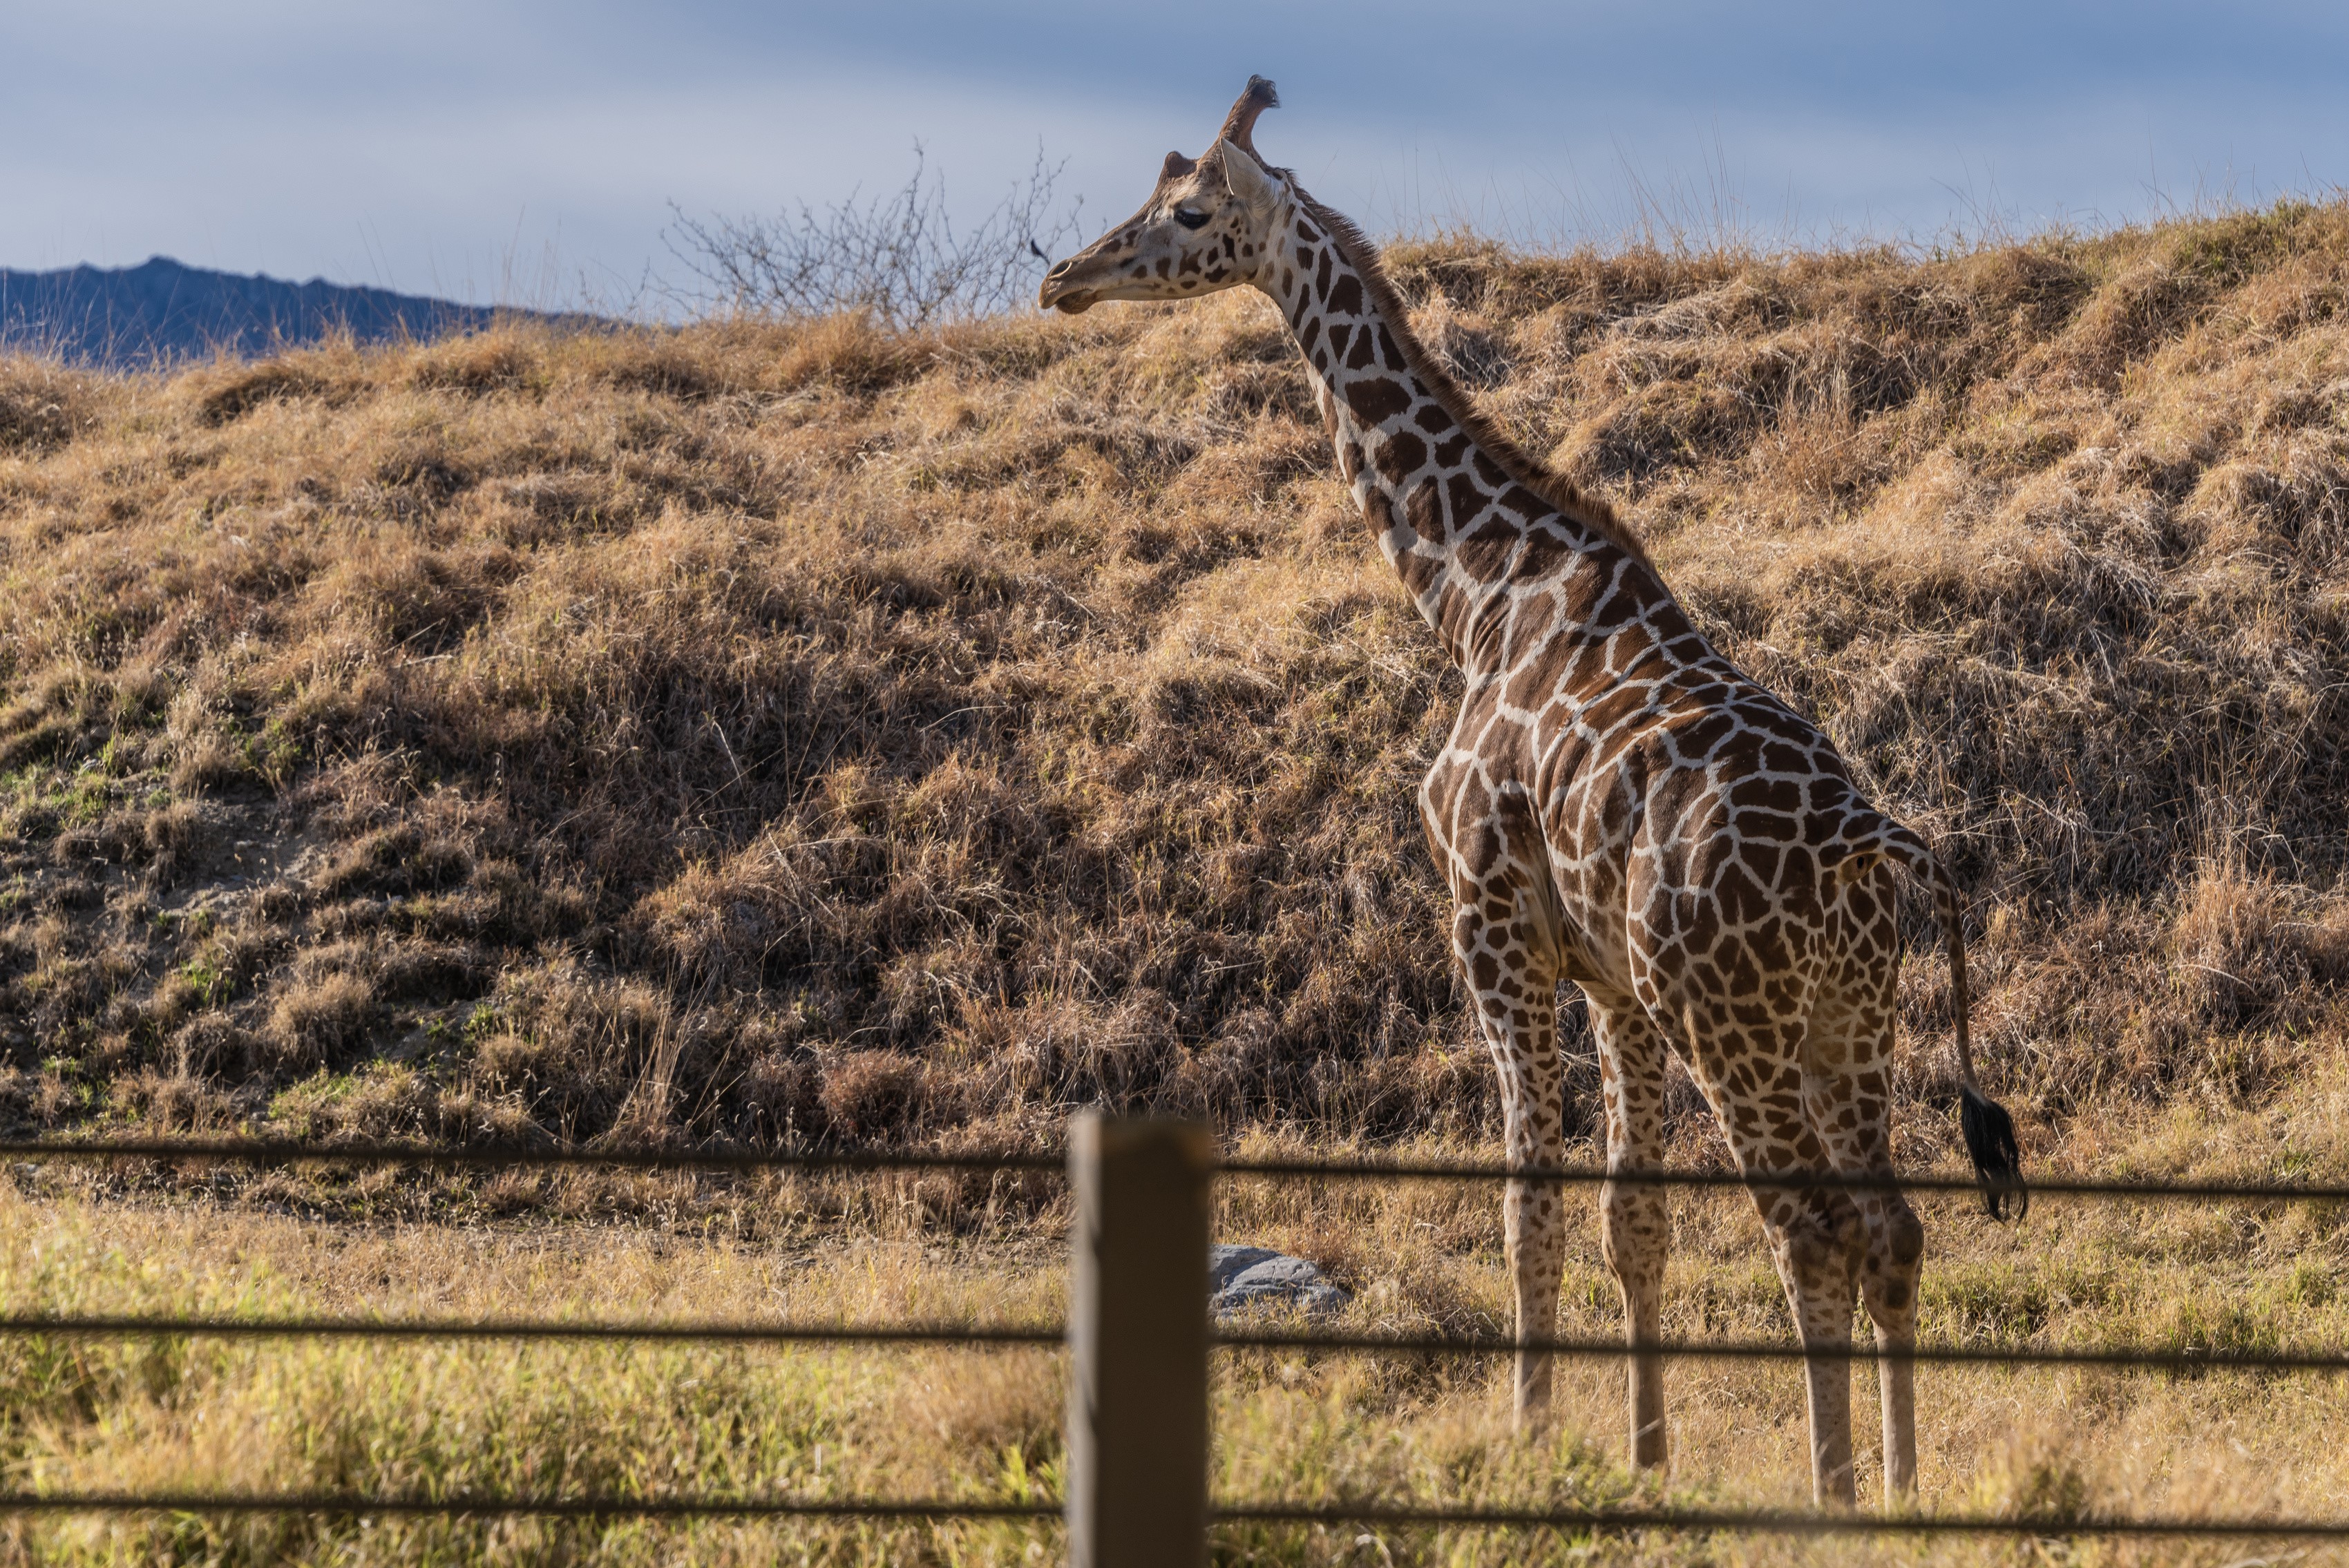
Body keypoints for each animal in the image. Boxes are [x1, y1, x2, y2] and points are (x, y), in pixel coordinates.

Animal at [1042, 79, 2030, 1506]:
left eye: (1184, 209)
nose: (1064, 277)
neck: (1479, 593)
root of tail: (1871, 844)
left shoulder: (1492, 929)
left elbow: (1528, 1209)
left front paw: (1524, 1440)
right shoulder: (1609, 979)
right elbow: (1634, 1220)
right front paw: (1644, 1459)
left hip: (1734, 1021)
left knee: (1813, 1233)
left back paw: (1834, 1494)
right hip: (1852, 1015)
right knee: (1893, 1226)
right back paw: (1900, 1489)